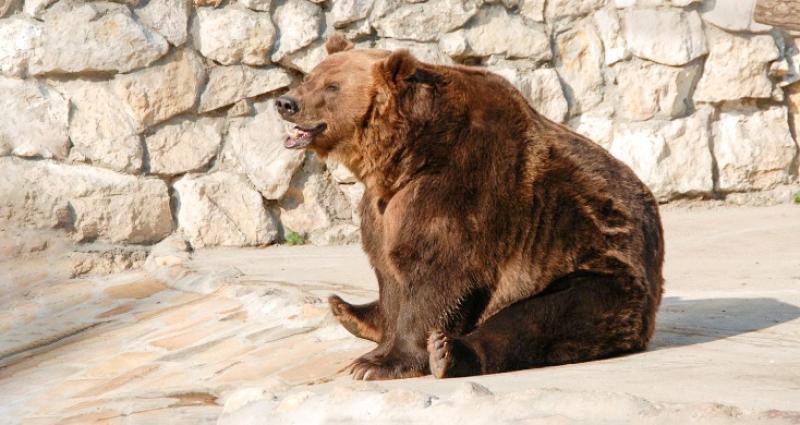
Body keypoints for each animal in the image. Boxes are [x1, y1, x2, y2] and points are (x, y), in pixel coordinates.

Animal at [276, 35, 664, 380]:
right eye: (309, 77)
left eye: (332, 86)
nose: (286, 102)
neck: (404, 157)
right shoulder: (383, 207)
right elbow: (388, 270)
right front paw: (377, 342)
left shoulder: (465, 185)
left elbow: (440, 272)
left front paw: (378, 363)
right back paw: (347, 310)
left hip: (598, 273)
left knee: (539, 318)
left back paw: (448, 353)